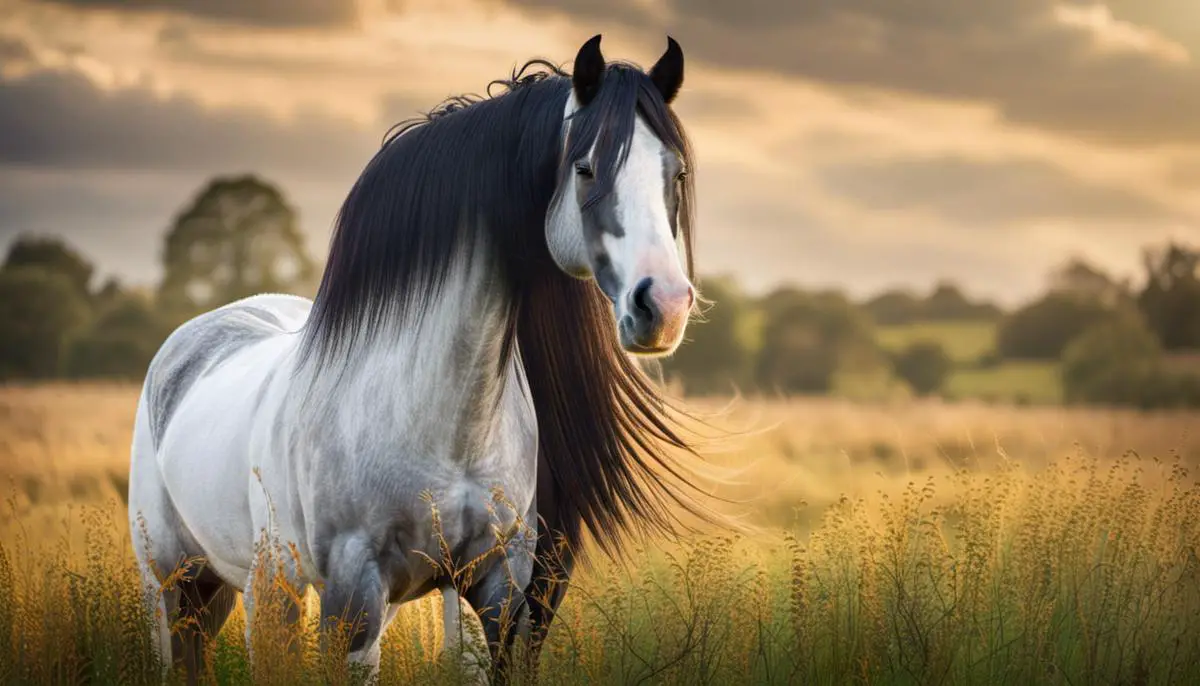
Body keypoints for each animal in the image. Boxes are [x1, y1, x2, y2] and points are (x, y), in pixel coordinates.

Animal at [131, 32, 710, 681]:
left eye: (677, 172)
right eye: (585, 169)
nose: (664, 305)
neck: (434, 420)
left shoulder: (497, 590)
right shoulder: (353, 601)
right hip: (195, 585)